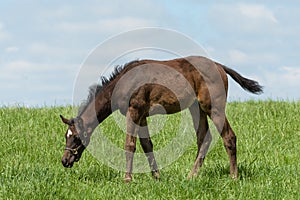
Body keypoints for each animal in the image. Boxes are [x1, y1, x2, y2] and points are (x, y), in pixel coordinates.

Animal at [59, 55, 262, 181]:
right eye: (66, 136)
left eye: (76, 137)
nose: (65, 161)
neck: (123, 82)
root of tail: (220, 66)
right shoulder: (142, 115)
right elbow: (147, 145)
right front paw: (157, 177)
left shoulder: (134, 111)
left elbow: (130, 145)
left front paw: (127, 178)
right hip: (196, 108)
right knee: (204, 138)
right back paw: (191, 176)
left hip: (213, 107)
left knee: (228, 136)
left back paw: (233, 177)